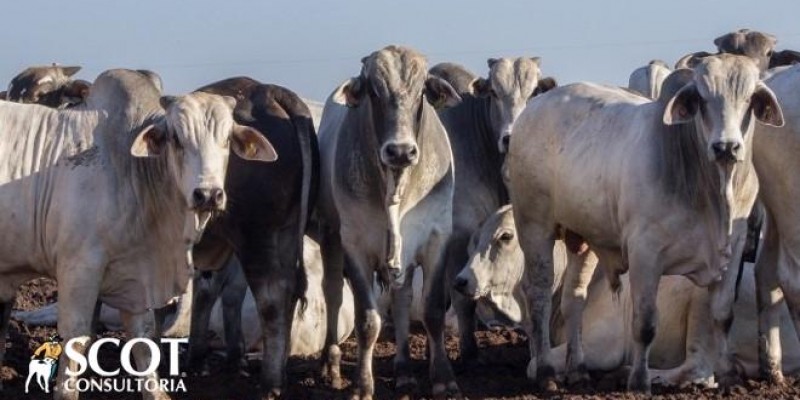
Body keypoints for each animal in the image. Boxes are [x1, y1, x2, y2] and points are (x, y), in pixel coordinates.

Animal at [0, 69, 276, 400]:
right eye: (176, 138)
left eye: (226, 140)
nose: (208, 194)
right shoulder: (79, 267)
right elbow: (77, 336)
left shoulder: (137, 275)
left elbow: (143, 340)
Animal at [316, 45, 460, 398]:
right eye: (373, 92)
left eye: (421, 92)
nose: (400, 151)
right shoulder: (355, 246)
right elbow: (367, 321)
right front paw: (362, 385)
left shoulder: (437, 239)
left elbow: (432, 310)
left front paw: (443, 378)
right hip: (330, 235)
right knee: (332, 293)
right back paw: (331, 365)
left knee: (402, 298)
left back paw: (404, 371)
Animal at [432, 59, 556, 362]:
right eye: (494, 93)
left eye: (534, 92)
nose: (511, 138)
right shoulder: (459, 239)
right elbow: (463, 299)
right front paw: (469, 353)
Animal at [510, 54, 784, 392]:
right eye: (702, 99)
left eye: (749, 99)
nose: (726, 147)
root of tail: (532, 108)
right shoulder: (646, 253)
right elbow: (645, 324)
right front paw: (639, 382)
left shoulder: (733, 248)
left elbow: (722, 315)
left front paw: (728, 376)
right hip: (534, 224)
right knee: (538, 294)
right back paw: (547, 370)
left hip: (582, 237)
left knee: (574, 298)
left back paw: (578, 370)